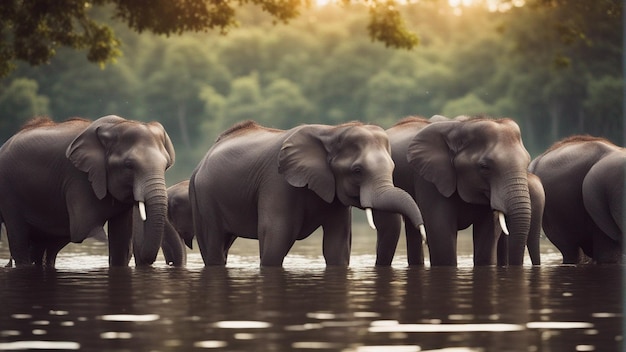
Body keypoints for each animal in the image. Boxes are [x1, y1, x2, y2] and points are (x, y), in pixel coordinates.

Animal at [0, 115, 174, 266]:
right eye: (129, 165)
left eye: (166, 166)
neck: (115, 126)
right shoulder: (78, 177)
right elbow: (83, 229)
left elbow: (121, 246)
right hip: (8, 192)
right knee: (19, 238)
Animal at [189, 119, 424, 266]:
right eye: (357, 171)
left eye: (393, 169)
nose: (423, 235)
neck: (332, 131)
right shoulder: (278, 182)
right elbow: (277, 236)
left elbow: (337, 244)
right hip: (204, 199)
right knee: (214, 245)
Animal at [372, 117, 528, 266]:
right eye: (484, 167)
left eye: (526, 163)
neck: (462, 126)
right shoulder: (429, 180)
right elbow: (441, 234)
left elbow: (487, 237)